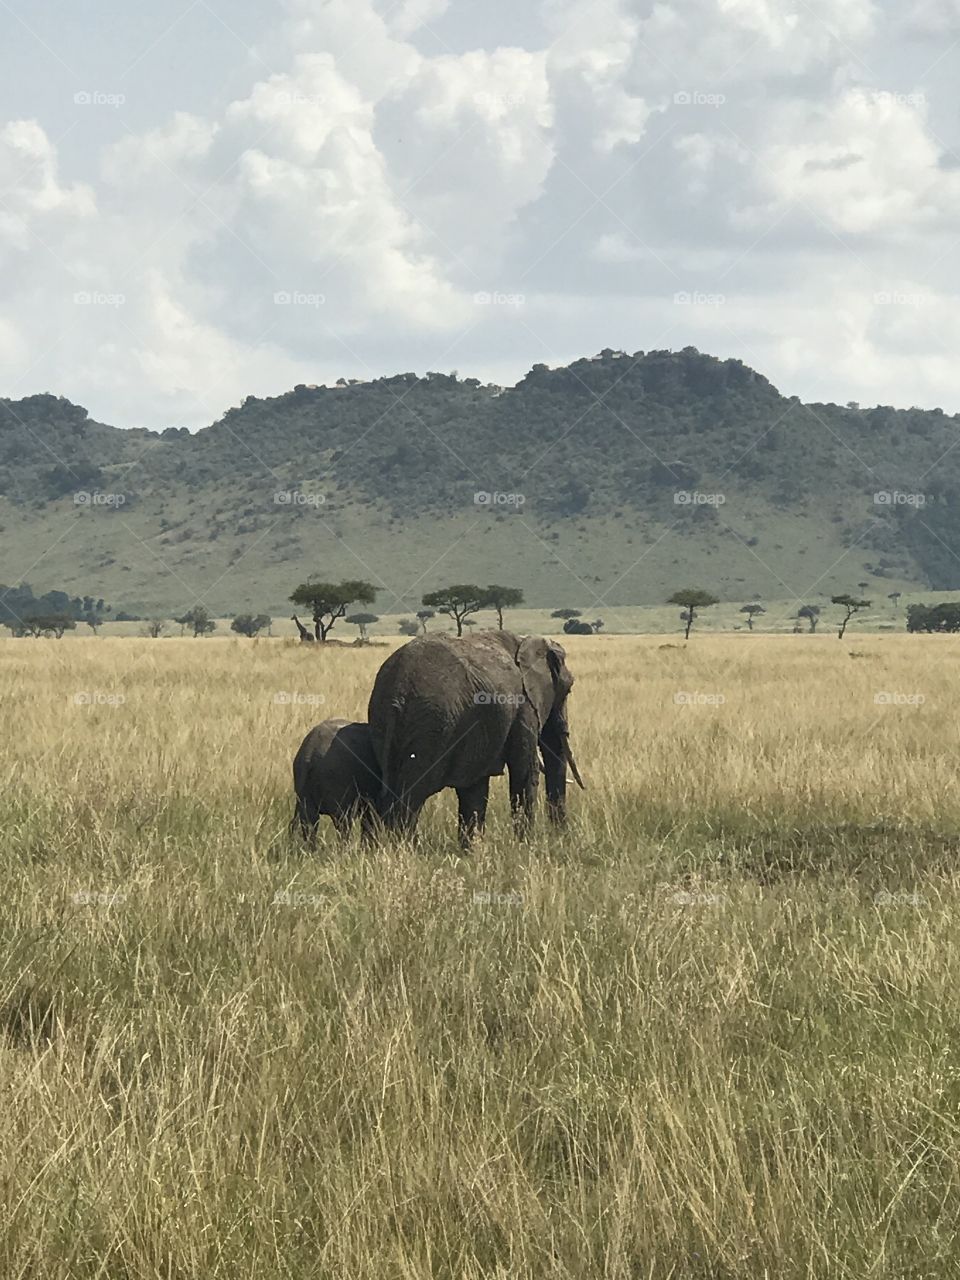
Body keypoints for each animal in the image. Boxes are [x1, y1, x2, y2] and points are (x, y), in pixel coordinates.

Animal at [366, 627, 583, 844]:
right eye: (568, 689)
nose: (561, 836)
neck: (526, 641)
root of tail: (397, 692)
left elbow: (474, 789)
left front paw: (473, 848)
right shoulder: (524, 706)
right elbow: (524, 771)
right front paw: (525, 845)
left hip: (385, 722)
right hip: (428, 726)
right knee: (409, 797)